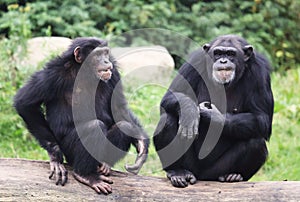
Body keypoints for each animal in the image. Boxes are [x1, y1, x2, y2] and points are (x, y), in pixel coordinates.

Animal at [14, 37, 150, 194]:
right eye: (97, 55)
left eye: (106, 53)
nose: (106, 61)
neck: (84, 71)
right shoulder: (52, 74)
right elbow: (25, 103)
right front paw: (55, 156)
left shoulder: (114, 74)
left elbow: (118, 108)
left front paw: (141, 145)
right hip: (70, 152)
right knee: (94, 127)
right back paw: (85, 175)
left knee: (124, 126)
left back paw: (105, 164)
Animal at [155, 34, 274, 188]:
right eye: (217, 53)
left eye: (230, 54)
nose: (223, 60)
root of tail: (201, 176)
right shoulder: (195, 61)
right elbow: (170, 96)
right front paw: (190, 112)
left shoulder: (260, 72)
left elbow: (263, 119)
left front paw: (212, 116)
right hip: (191, 166)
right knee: (167, 120)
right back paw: (177, 172)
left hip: (214, 171)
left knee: (256, 142)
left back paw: (232, 175)